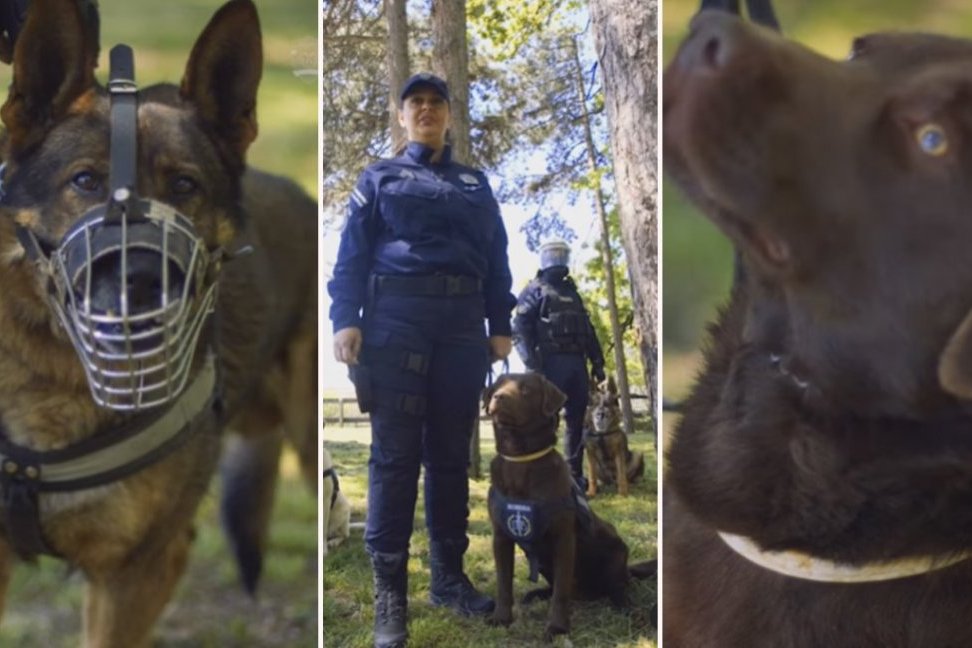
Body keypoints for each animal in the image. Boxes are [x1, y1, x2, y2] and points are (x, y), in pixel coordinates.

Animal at [484, 372, 652, 640]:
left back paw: (628, 609)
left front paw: (557, 627)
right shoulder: (500, 537)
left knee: (616, 588)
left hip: (616, 549)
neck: (520, 459)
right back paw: (536, 594)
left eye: (526, 389)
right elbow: (503, 584)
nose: (498, 397)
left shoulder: (563, 539)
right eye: (497, 386)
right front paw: (501, 618)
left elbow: (561, 593)